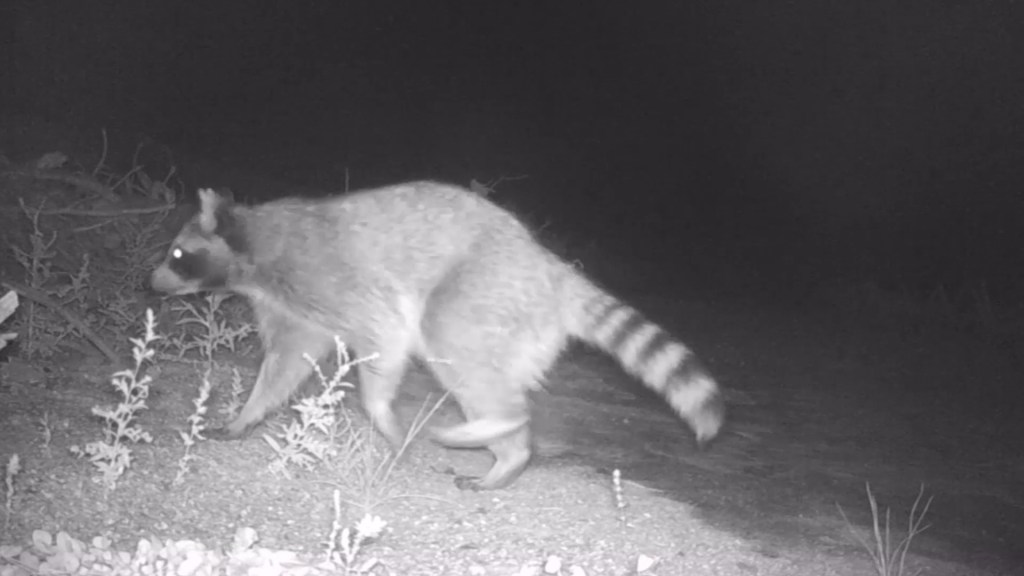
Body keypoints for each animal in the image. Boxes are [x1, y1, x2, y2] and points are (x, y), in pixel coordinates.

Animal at [153, 181, 729, 485]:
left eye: (178, 254)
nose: (147, 281)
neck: (253, 242)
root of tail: (550, 266)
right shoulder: (292, 308)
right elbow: (285, 364)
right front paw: (246, 414)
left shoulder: (328, 275)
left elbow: (384, 334)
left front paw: (382, 415)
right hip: (515, 319)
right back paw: (509, 453)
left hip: (486, 287)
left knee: (451, 342)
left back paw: (504, 426)